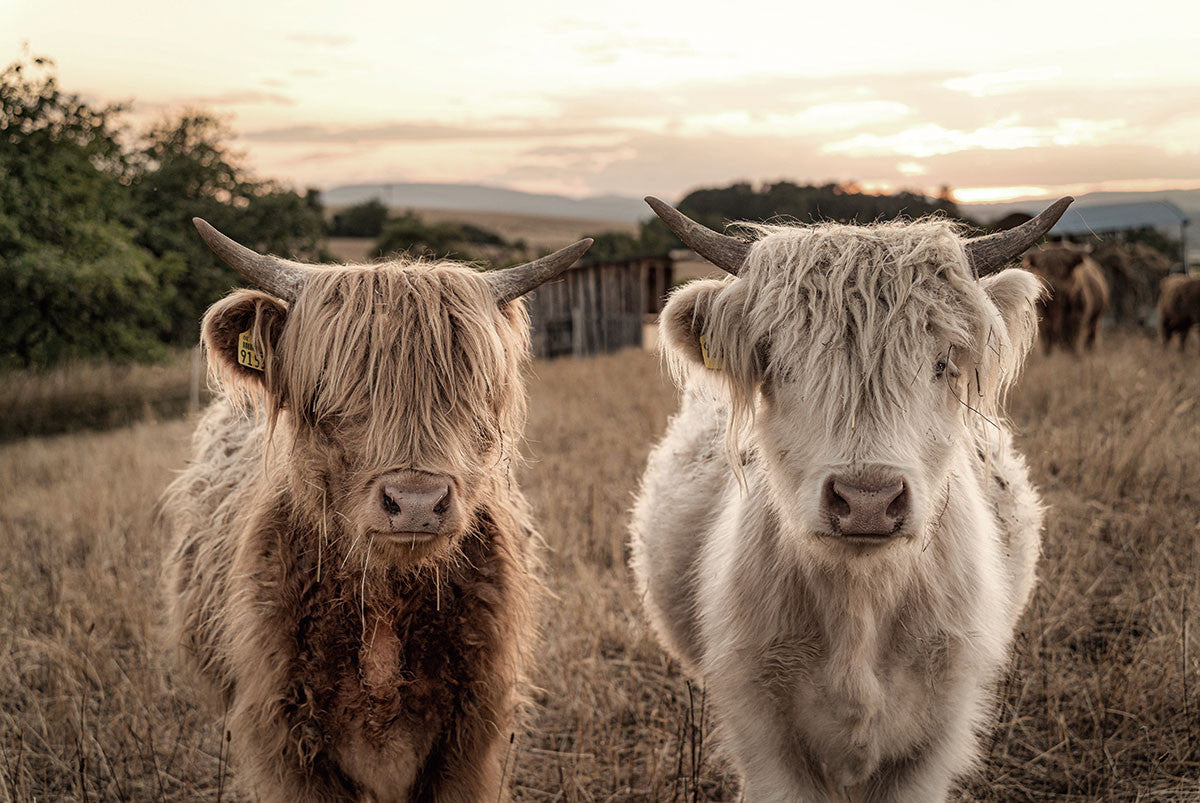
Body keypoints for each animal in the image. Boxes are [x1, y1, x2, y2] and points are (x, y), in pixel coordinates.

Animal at [159, 220, 590, 801]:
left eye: (475, 390)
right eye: (325, 390)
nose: (415, 503)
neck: (384, 603)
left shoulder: (470, 739)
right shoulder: (287, 746)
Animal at [628, 196, 1070, 796]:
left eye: (943, 363)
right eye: (781, 365)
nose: (867, 501)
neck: (860, 601)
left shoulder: (934, 740)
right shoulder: (764, 735)